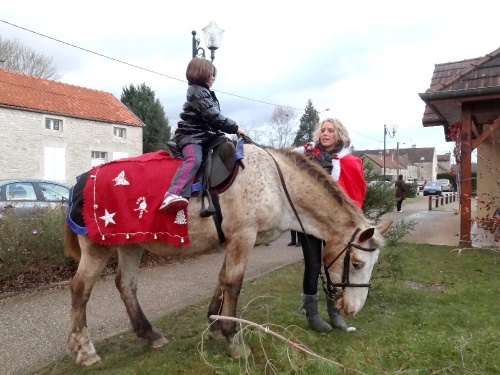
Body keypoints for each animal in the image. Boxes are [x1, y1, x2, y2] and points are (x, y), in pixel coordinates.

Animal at [63, 145, 390, 368]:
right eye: (357, 263)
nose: (352, 309)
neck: (275, 183)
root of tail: (81, 180)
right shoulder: (243, 238)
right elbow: (233, 284)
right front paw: (233, 338)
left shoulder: (234, 241)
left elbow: (222, 280)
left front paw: (216, 325)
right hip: (97, 247)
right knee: (81, 289)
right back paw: (85, 350)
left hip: (130, 244)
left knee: (126, 285)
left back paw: (149, 334)